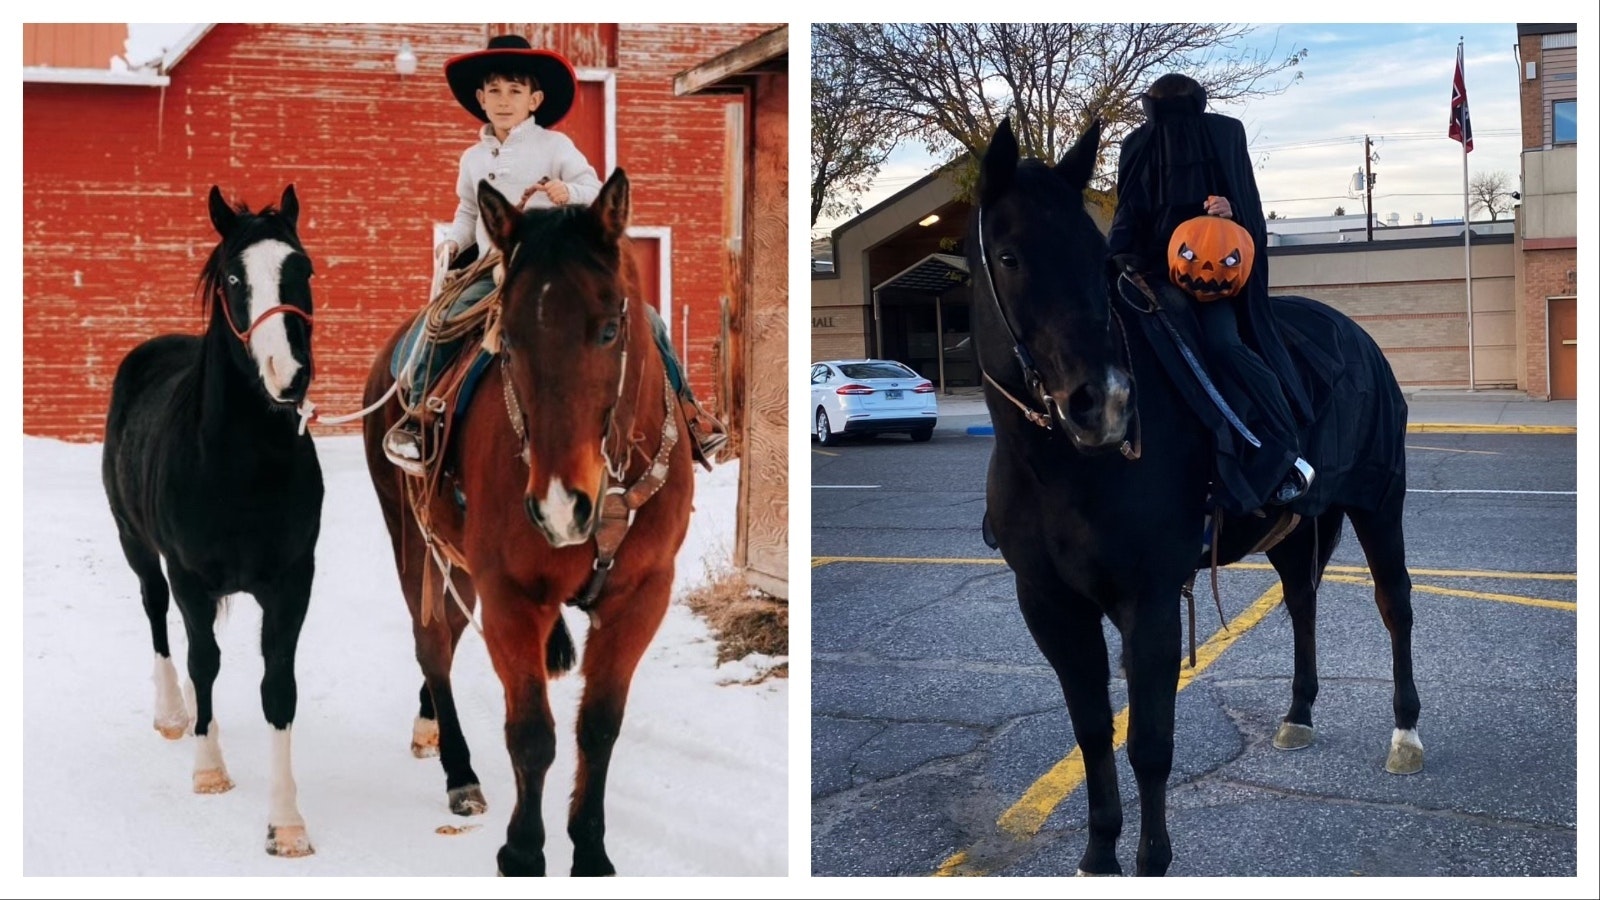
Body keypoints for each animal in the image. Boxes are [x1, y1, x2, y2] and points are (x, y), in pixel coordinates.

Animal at [101, 182, 323, 851]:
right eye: (232, 276)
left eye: (303, 268)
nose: (288, 375)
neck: (241, 466)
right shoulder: (189, 576)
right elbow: (203, 661)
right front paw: (208, 771)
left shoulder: (293, 582)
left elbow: (278, 685)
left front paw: (286, 821)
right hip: (137, 546)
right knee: (159, 621)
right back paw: (176, 715)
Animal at [366, 166, 697, 871]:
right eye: (509, 338)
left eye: (608, 329)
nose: (559, 505)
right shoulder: (510, 594)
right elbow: (531, 734)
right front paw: (522, 851)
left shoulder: (642, 595)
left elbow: (597, 727)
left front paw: (590, 849)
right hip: (415, 541)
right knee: (433, 646)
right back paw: (459, 771)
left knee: (444, 645)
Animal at [966, 117, 1420, 871]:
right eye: (1008, 256)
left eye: (1096, 260)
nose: (1104, 403)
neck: (1061, 468)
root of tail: (1354, 334)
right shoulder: (1051, 608)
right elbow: (1091, 732)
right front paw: (1097, 855)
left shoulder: (1148, 603)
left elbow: (1149, 746)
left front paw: (1151, 860)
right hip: (1292, 531)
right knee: (1301, 602)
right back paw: (1298, 715)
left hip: (1380, 502)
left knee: (1396, 607)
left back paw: (1406, 733)